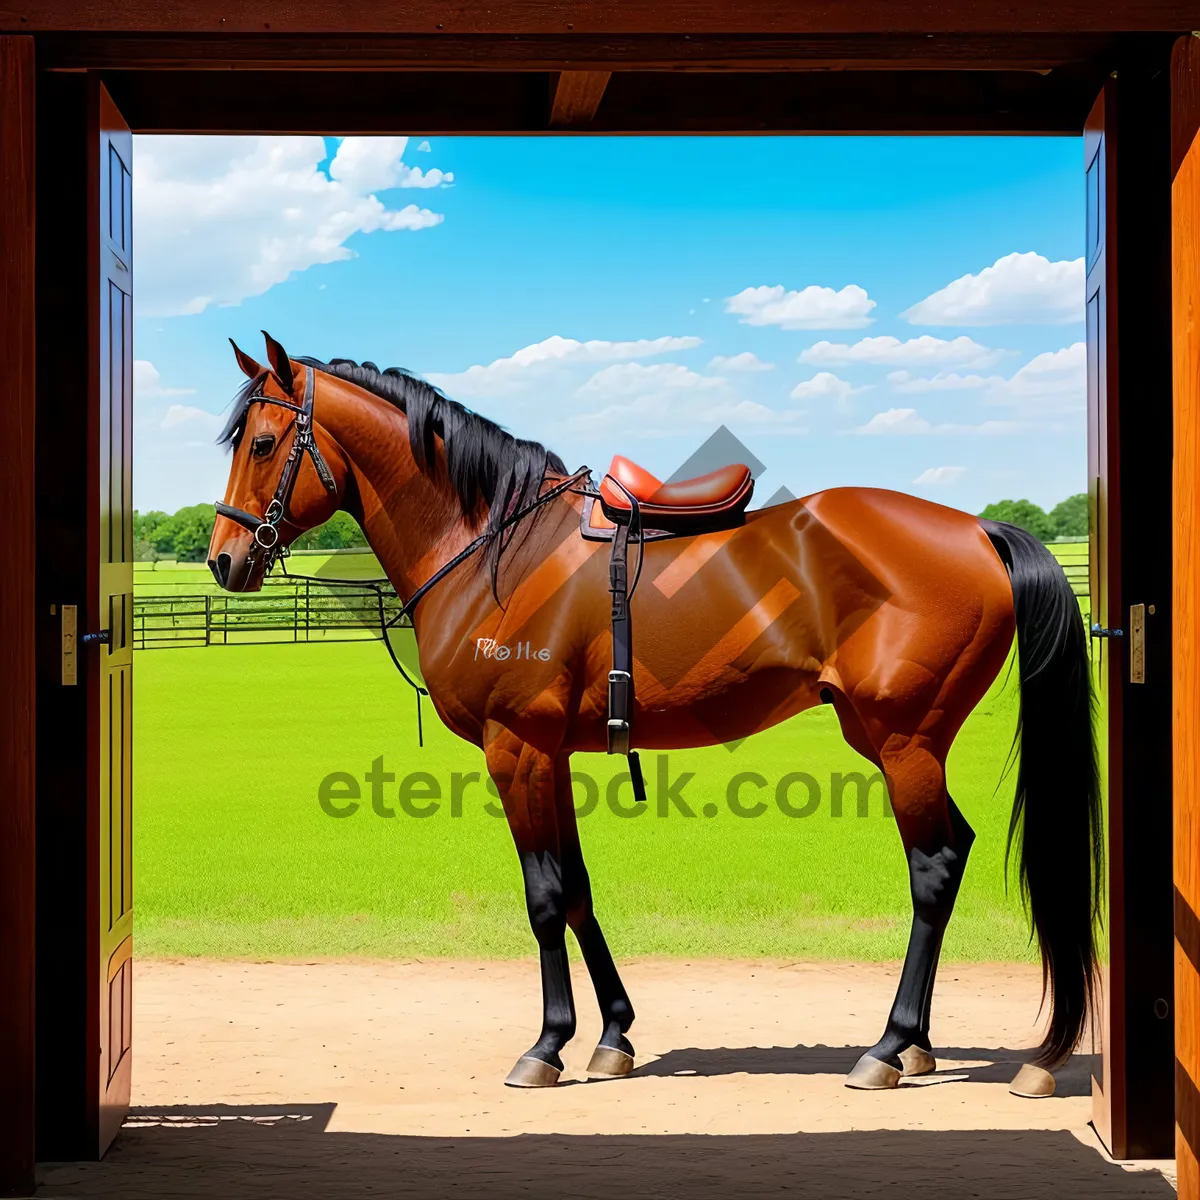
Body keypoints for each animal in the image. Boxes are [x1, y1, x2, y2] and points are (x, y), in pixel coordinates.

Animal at [204, 331, 1099, 1099]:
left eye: (262, 444)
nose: (223, 558)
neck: (494, 546)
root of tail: (976, 529)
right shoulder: (550, 754)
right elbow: (577, 891)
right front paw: (612, 1036)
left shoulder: (515, 749)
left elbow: (543, 897)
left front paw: (546, 1045)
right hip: (904, 740)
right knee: (953, 854)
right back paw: (916, 1049)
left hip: (904, 739)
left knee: (934, 867)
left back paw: (888, 1045)